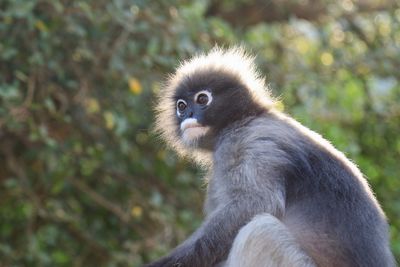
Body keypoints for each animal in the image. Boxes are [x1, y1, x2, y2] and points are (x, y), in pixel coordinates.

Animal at [145, 47, 396, 266]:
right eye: (181, 105)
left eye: (202, 99)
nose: (188, 114)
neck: (244, 118)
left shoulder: (252, 142)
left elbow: (256, 204)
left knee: (260, 231)